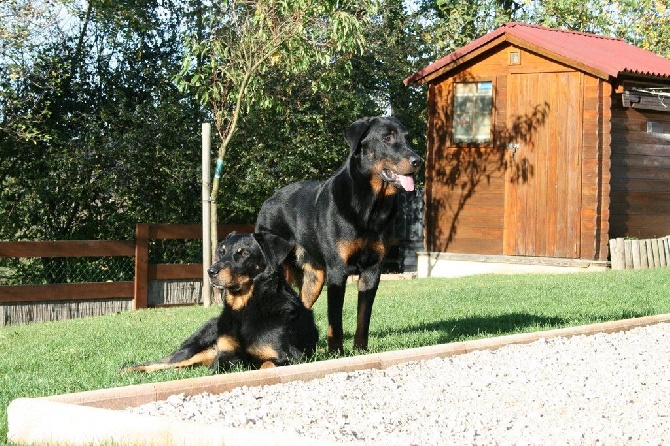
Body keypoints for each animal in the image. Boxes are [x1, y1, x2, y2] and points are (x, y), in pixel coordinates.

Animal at [126, 232, 320, 372]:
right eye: (222, 251)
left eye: (243, 253)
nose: (211, 271)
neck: (245, 308)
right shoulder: (224, 355)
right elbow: (214, 371)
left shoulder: (291, 357)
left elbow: (266, 365)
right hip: (197, 349)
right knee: (167, 362)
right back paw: (130, 369)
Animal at [258, 116, 420, 354]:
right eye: (387, 138)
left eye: (408, 137)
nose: (418, 160)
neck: (370, 206)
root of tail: (267, 201)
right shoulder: (337, 270)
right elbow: (335, 319)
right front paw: (336, 352)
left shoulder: (373, 270)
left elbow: (364, 317)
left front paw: (360, 350)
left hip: (315, 277)